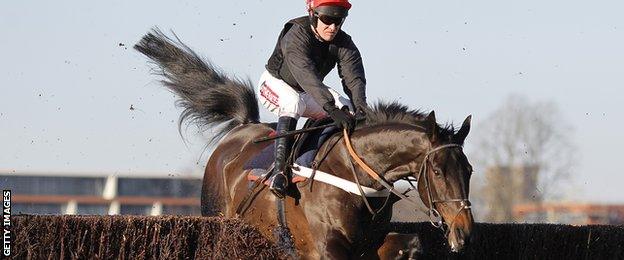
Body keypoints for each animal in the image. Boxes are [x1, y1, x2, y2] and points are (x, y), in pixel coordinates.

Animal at [135, 30, 472, 258]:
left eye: (468, 171)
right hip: (218, 219)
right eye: (438, 172)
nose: (464, 232)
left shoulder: (369, 242)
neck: (354, 174)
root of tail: (242, 128)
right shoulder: (327, 247)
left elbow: (410, 243)